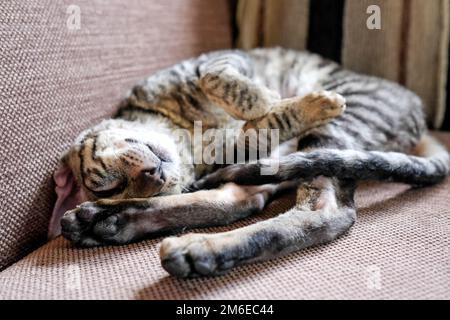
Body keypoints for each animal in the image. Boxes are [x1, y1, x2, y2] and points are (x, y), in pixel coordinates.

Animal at [53, 47, 450, 278]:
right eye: (114, 185)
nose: (152, 175)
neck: (186, 138)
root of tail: (421, 118)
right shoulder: (242, 148)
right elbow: (263, 127)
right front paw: (286, 104)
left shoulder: (218, 61)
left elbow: (219, 80)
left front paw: (266, 98)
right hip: (305, 152)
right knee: (292, 207)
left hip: (333, 132)